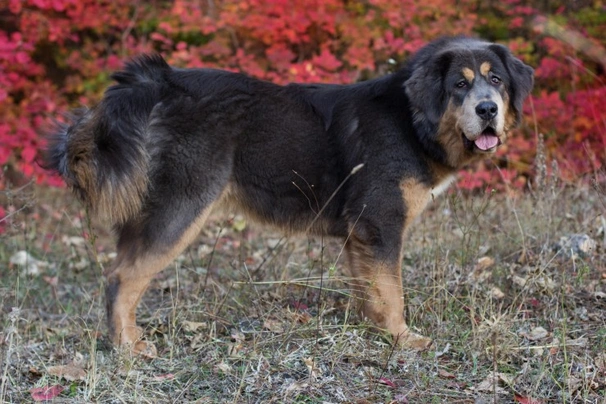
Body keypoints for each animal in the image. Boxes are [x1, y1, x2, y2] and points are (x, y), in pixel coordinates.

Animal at [45, 36, 536, 356]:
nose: (488, 109)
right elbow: (392, 291)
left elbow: (371, 291)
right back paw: (127, 348)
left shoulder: (359, 234)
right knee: (121, 280)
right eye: (459, 85)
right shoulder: (380, 224)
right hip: (179, 210)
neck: (412, 120)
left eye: (496, 80)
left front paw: (377, 332)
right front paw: (403, 339)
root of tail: (160, 84)